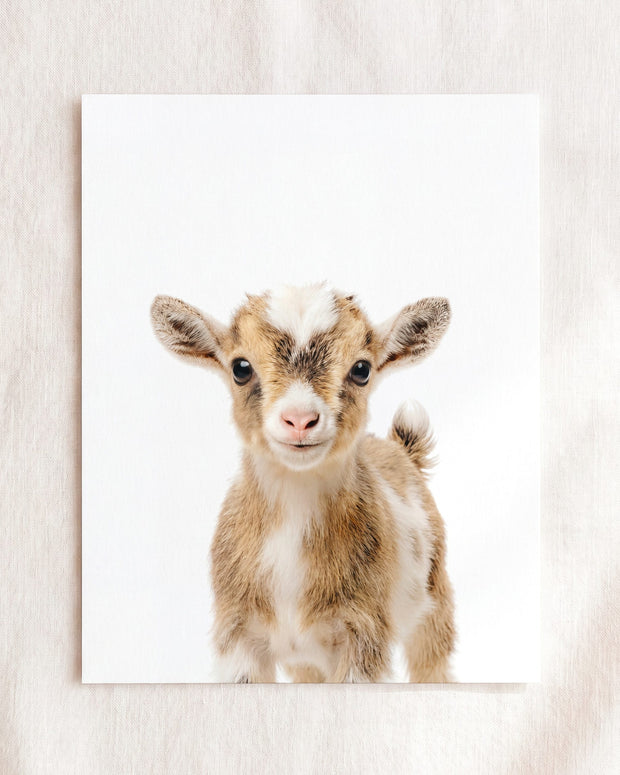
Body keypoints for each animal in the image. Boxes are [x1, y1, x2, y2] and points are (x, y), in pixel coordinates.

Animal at [151, 283, 455, 682]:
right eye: (240, 368)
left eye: (361, 369)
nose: (299, 420)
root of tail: (402, 449)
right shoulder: (237, 635)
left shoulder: (364, 633)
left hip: (435, 603)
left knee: (433, 664)